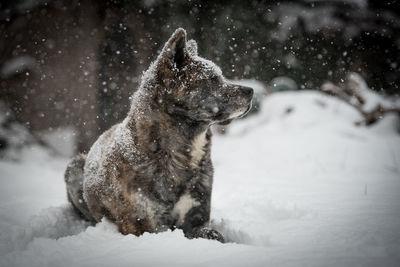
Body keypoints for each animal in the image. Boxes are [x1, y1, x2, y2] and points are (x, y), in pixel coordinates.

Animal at [65, 27, 253, 243]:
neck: (179, 154)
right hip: (73, 167)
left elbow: (216, 235)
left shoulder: (197, 221)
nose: (251, 91)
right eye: (212, 79)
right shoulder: (146, 226)